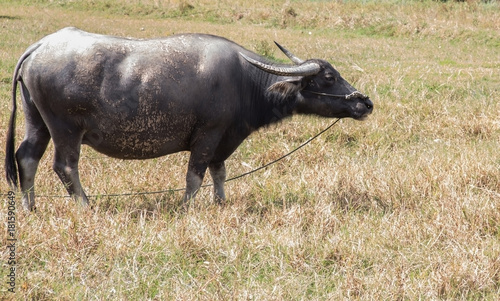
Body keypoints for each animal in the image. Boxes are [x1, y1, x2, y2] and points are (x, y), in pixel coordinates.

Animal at [3, 27, 372, 210]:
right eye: (328, 78)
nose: (365, 103)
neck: (244, 82)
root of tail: (40, 46)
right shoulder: (208, 135)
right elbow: (195, 175)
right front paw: (186, 208)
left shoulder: (225, 138)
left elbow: (219, 172)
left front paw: (221, 204)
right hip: (65, 128)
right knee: (64, 166)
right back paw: (85, 206)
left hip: (36, 120)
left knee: (27, 158)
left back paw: (30, 207)